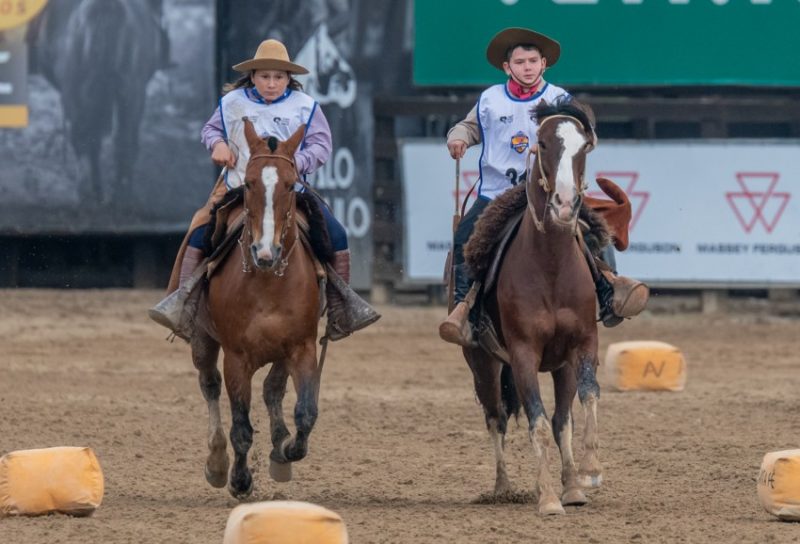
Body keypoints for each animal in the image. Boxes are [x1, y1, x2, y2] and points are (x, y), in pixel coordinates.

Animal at [191, 119, 322, 498]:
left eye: (291, 184)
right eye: (248, 182)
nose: (265, 252)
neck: (268, 281)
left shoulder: (303, 347)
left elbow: (306, 412)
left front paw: (287, 451)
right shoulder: (237, 357)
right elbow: (241, 428)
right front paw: (240, 480)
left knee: (273, 389)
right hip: (202, 341)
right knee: (210, 385)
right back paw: (217, 463)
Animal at [466, 101, 604, 516]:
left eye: (584, 147)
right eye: (541, 144)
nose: (565, 204)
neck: (551, 266)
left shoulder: (583, 344)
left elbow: (583, 402)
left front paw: (586, 474)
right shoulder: (523, 353)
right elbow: (536, 422)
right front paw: (546, 498)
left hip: (559, 365)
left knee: (561, 420)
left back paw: (571, 485)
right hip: (482, 362)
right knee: (495, 417)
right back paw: (503, 486)